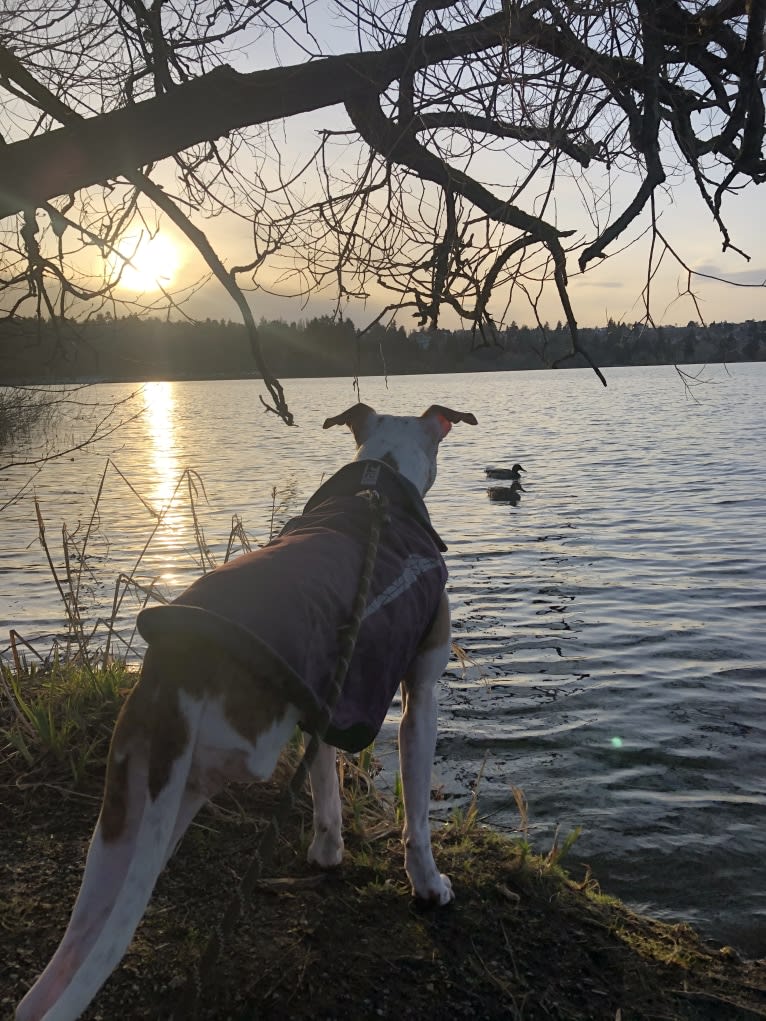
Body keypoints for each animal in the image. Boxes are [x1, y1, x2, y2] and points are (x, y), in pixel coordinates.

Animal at [16, 400, 473, 1021]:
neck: (377, 490)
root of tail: (179, 668)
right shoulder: (420, 694)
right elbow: (418, 816)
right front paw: (428, 886)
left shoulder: (326, 699)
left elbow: (325, 791)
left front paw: (327, 852)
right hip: (198, 782)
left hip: (119, 815)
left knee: (58, 971)